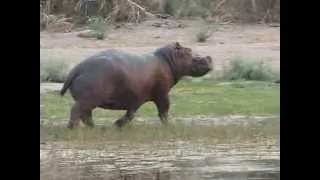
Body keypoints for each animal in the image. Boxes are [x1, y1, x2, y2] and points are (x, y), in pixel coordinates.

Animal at [60, 42, 212, 129]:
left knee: (86, 115)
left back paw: (94, 128)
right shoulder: (162, 94)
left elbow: (131, 113)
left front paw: (118, 124)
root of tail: (77, 69)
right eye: (190, 52)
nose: (209, 57)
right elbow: (164, 111)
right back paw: (73, 128)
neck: (169, 59)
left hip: (90, 100)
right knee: (76, 112)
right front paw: (169, 126)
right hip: (88, 99)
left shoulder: (135, 96)